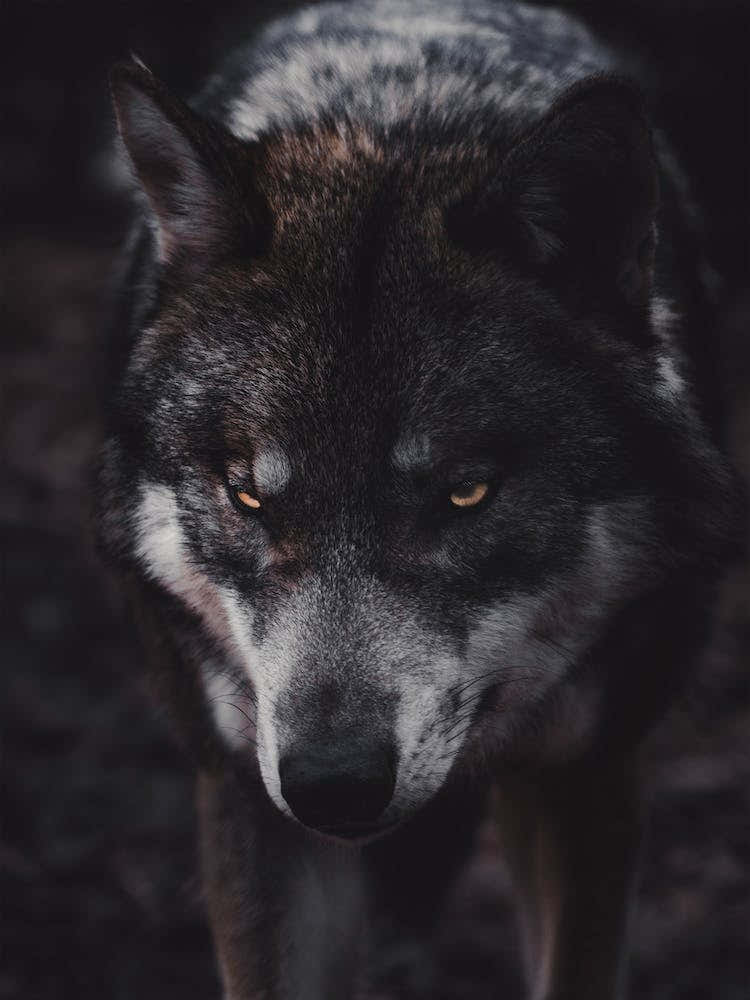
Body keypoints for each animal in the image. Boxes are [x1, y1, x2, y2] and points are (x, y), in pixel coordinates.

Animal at [99, 1, 743, 997]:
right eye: (247, 498)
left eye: (466, 492)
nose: (332, 782)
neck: (395, 118)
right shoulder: (245, 793)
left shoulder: (589, 774)